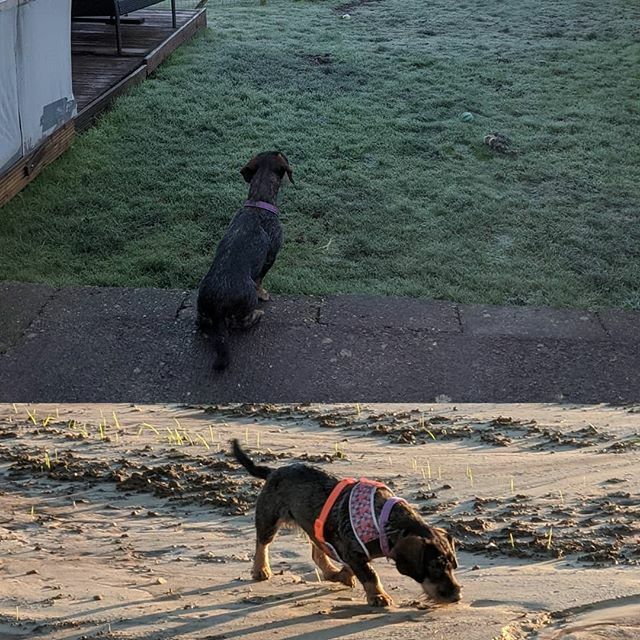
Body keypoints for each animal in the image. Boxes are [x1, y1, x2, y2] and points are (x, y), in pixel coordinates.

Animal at [196, 151, 294, 370]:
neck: (258, 202)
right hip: (245, 305)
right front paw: (264, 294)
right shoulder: (270, 257)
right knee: (241, 322)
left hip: (202, 311)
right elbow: (261, 280)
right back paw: (257, 315)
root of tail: (218, 306)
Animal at [232, 440, 462, 608]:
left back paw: (333, 573)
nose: (457, 596)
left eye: (453, 566)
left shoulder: (347, 548)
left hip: (315, 526)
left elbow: (354, 566)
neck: (384, 521)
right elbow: (370, 574)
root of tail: (273, 472)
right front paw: (378, 596)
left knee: (317, 552)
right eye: (435, 567)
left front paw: (344, 574)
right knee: (262, 542)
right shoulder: (352, 551)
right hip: (269, 517)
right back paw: (261, 569)